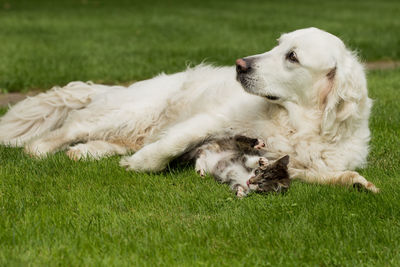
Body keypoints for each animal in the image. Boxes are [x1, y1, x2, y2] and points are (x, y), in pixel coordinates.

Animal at [0, 28, 378, 193]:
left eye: (293, 57)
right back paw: (41, 149)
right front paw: (139, 166)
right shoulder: (213, 120)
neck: (299, 125)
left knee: (102, 141)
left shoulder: (292, 164)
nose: (239, 65)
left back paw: (84, 153)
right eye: (278, 45)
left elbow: (326, 174)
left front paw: (358, 182)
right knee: (70, 130)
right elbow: (168, 148)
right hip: (132, 113)